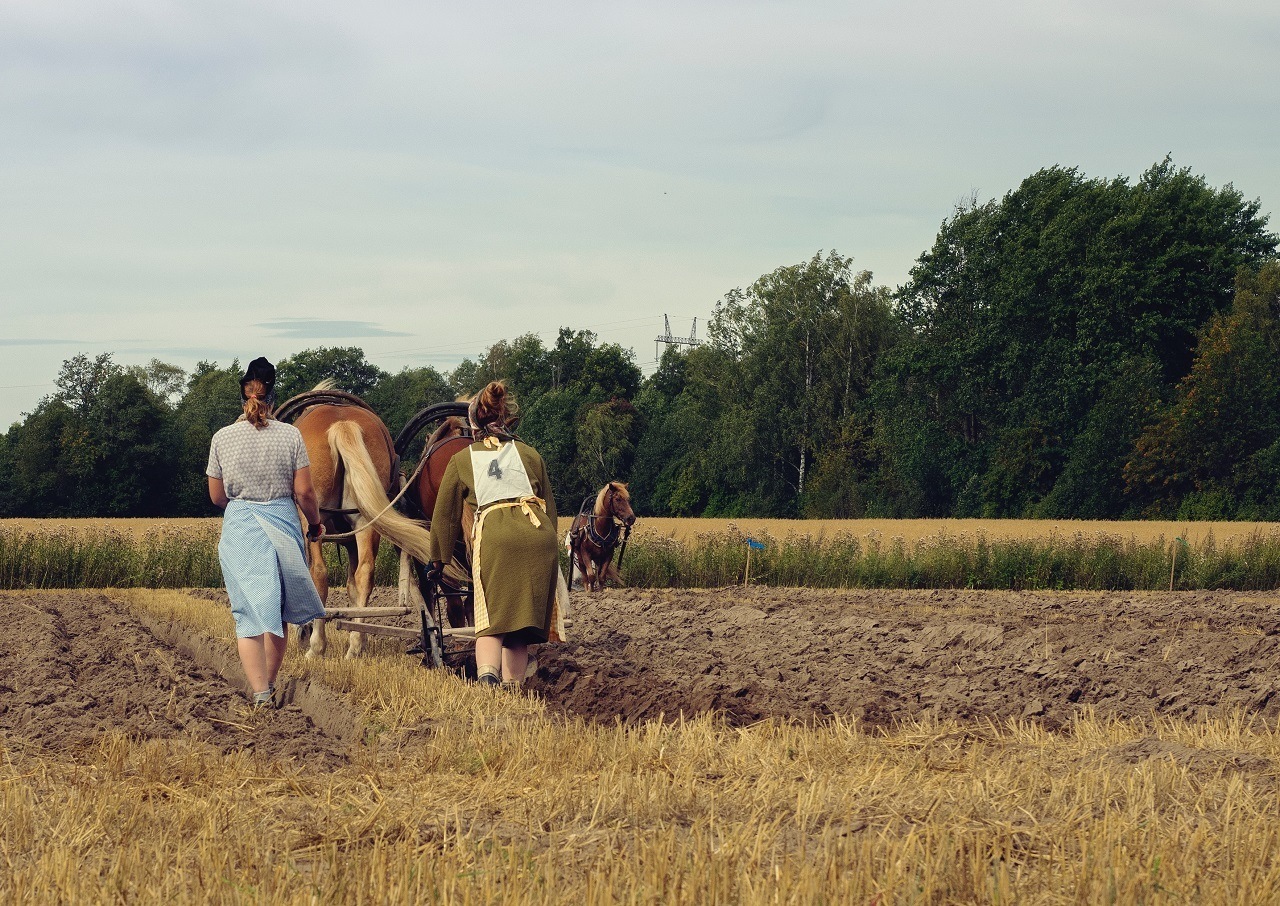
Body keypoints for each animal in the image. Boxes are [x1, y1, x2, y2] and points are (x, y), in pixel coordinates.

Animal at [290, 391, 435, 655]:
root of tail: (342, 424)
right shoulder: (350, 543)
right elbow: (352, 586)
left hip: (314, 523)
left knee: (319, 573)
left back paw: (317, 646)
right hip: (365, 522)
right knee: (365, 573)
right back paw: (356, 645)